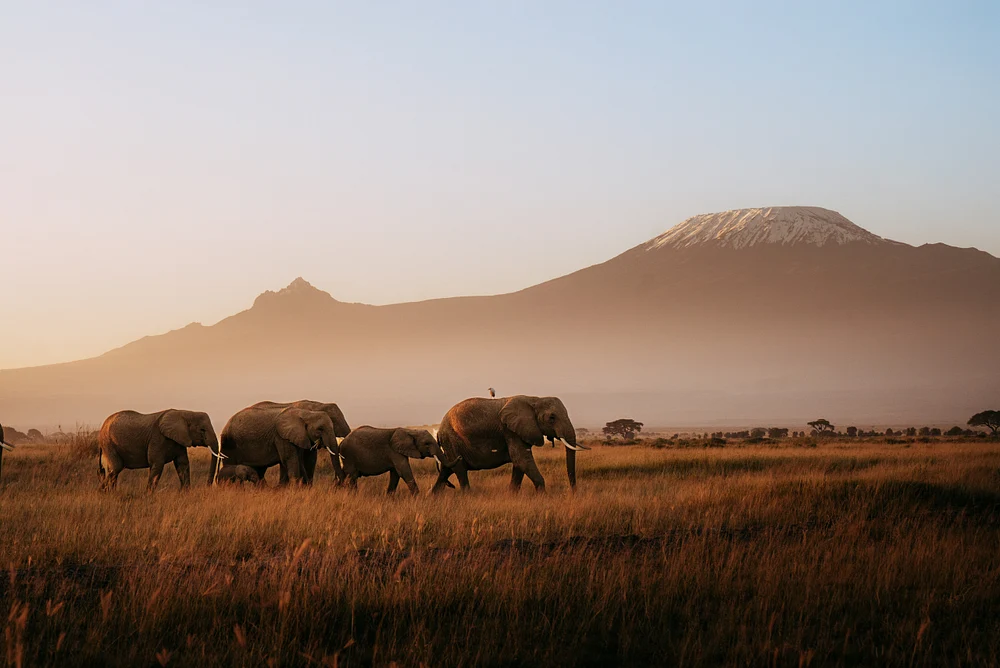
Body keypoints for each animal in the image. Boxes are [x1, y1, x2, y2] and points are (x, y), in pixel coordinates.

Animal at [209, 400, 351, 484]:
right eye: (321, 429)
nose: (338, 483)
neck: (312, 408)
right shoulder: (282, 436)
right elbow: (291, 458)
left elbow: (307, 459)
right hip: (230, 443)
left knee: (259, 469)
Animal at [433, 395, 588, 493]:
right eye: (552, 418)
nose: (573, 493)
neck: (534, 399)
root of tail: (439, 430)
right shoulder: (510, 430)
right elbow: (521, 460)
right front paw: (543, 497)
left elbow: (520, 464)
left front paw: (511, 495)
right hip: (451, 440)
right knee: (459, 469)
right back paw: (468, 496)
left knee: (447, 469)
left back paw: (433, 496)